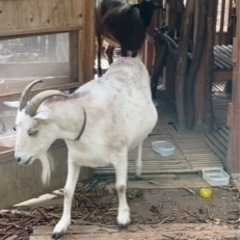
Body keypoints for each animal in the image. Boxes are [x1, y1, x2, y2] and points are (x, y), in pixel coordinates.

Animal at [4, 57, 158, 239]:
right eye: (15, 128)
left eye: (33, 131)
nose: (19, 158)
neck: (86, 120)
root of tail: (130, 58)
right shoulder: (74, 159)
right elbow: (67, 190)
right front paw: (61, 226)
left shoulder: (120, 155)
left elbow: (120, 186)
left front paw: (123, 218)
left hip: (144, 127)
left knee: (141, 142)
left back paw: (139, 169)